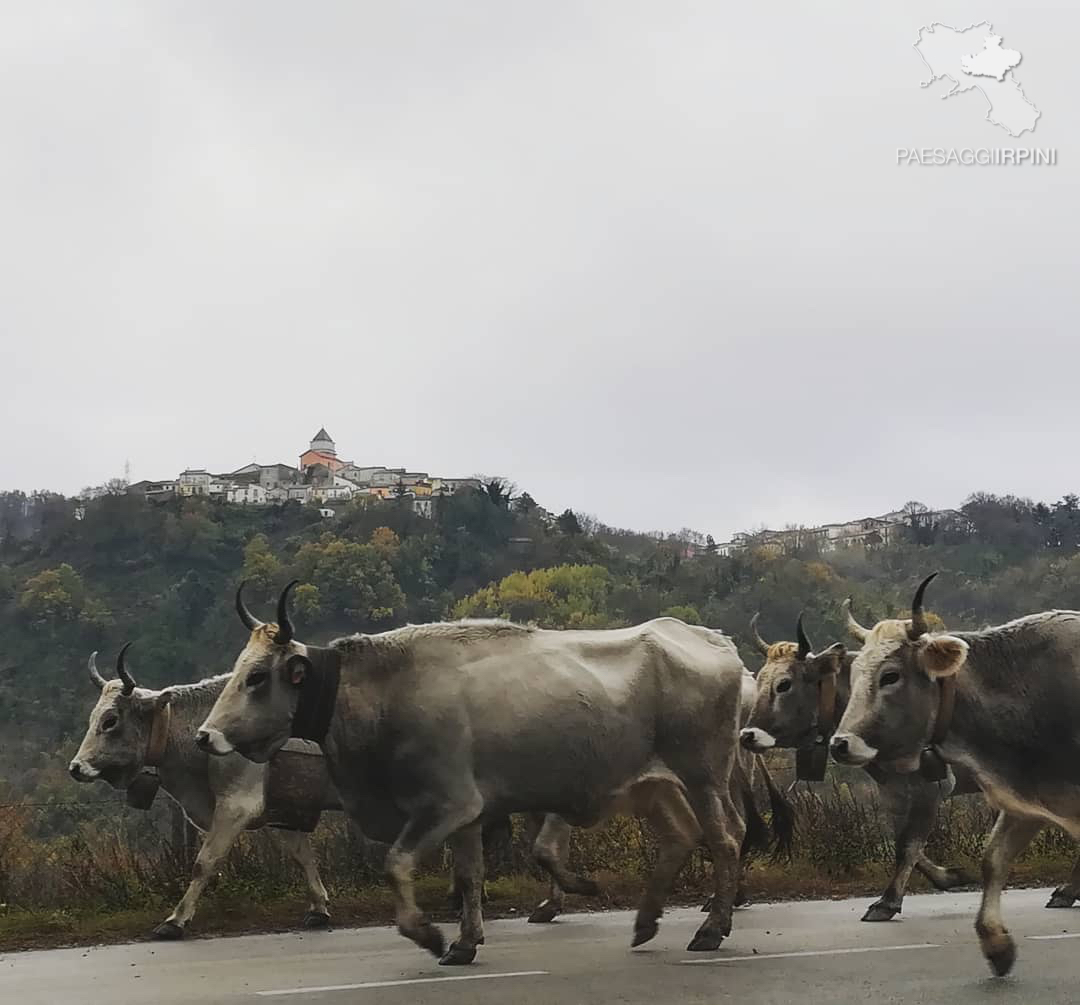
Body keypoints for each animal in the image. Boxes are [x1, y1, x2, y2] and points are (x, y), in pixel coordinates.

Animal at [68, 647, 336, 941]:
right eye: (92, 718)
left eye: (110, 720)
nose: (75, 767)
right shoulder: (285, 809)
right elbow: (303, 856)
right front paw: (319, 909)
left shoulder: (237, 805)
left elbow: (204, 862)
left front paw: (175, 920)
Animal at [738, 608, 976, 924]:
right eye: (759, 679)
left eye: (784, 684)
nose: (747, 735)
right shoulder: (893, 789)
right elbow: (901, 841)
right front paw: (949, 876)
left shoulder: (930, 787)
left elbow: (909, 844)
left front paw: (886, 902)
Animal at [829, 578, 1080, 980]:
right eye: (854, 677)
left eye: (890, 676)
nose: (840, 744)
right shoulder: (1027, 797)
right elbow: (993, 859)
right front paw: (996, 945)